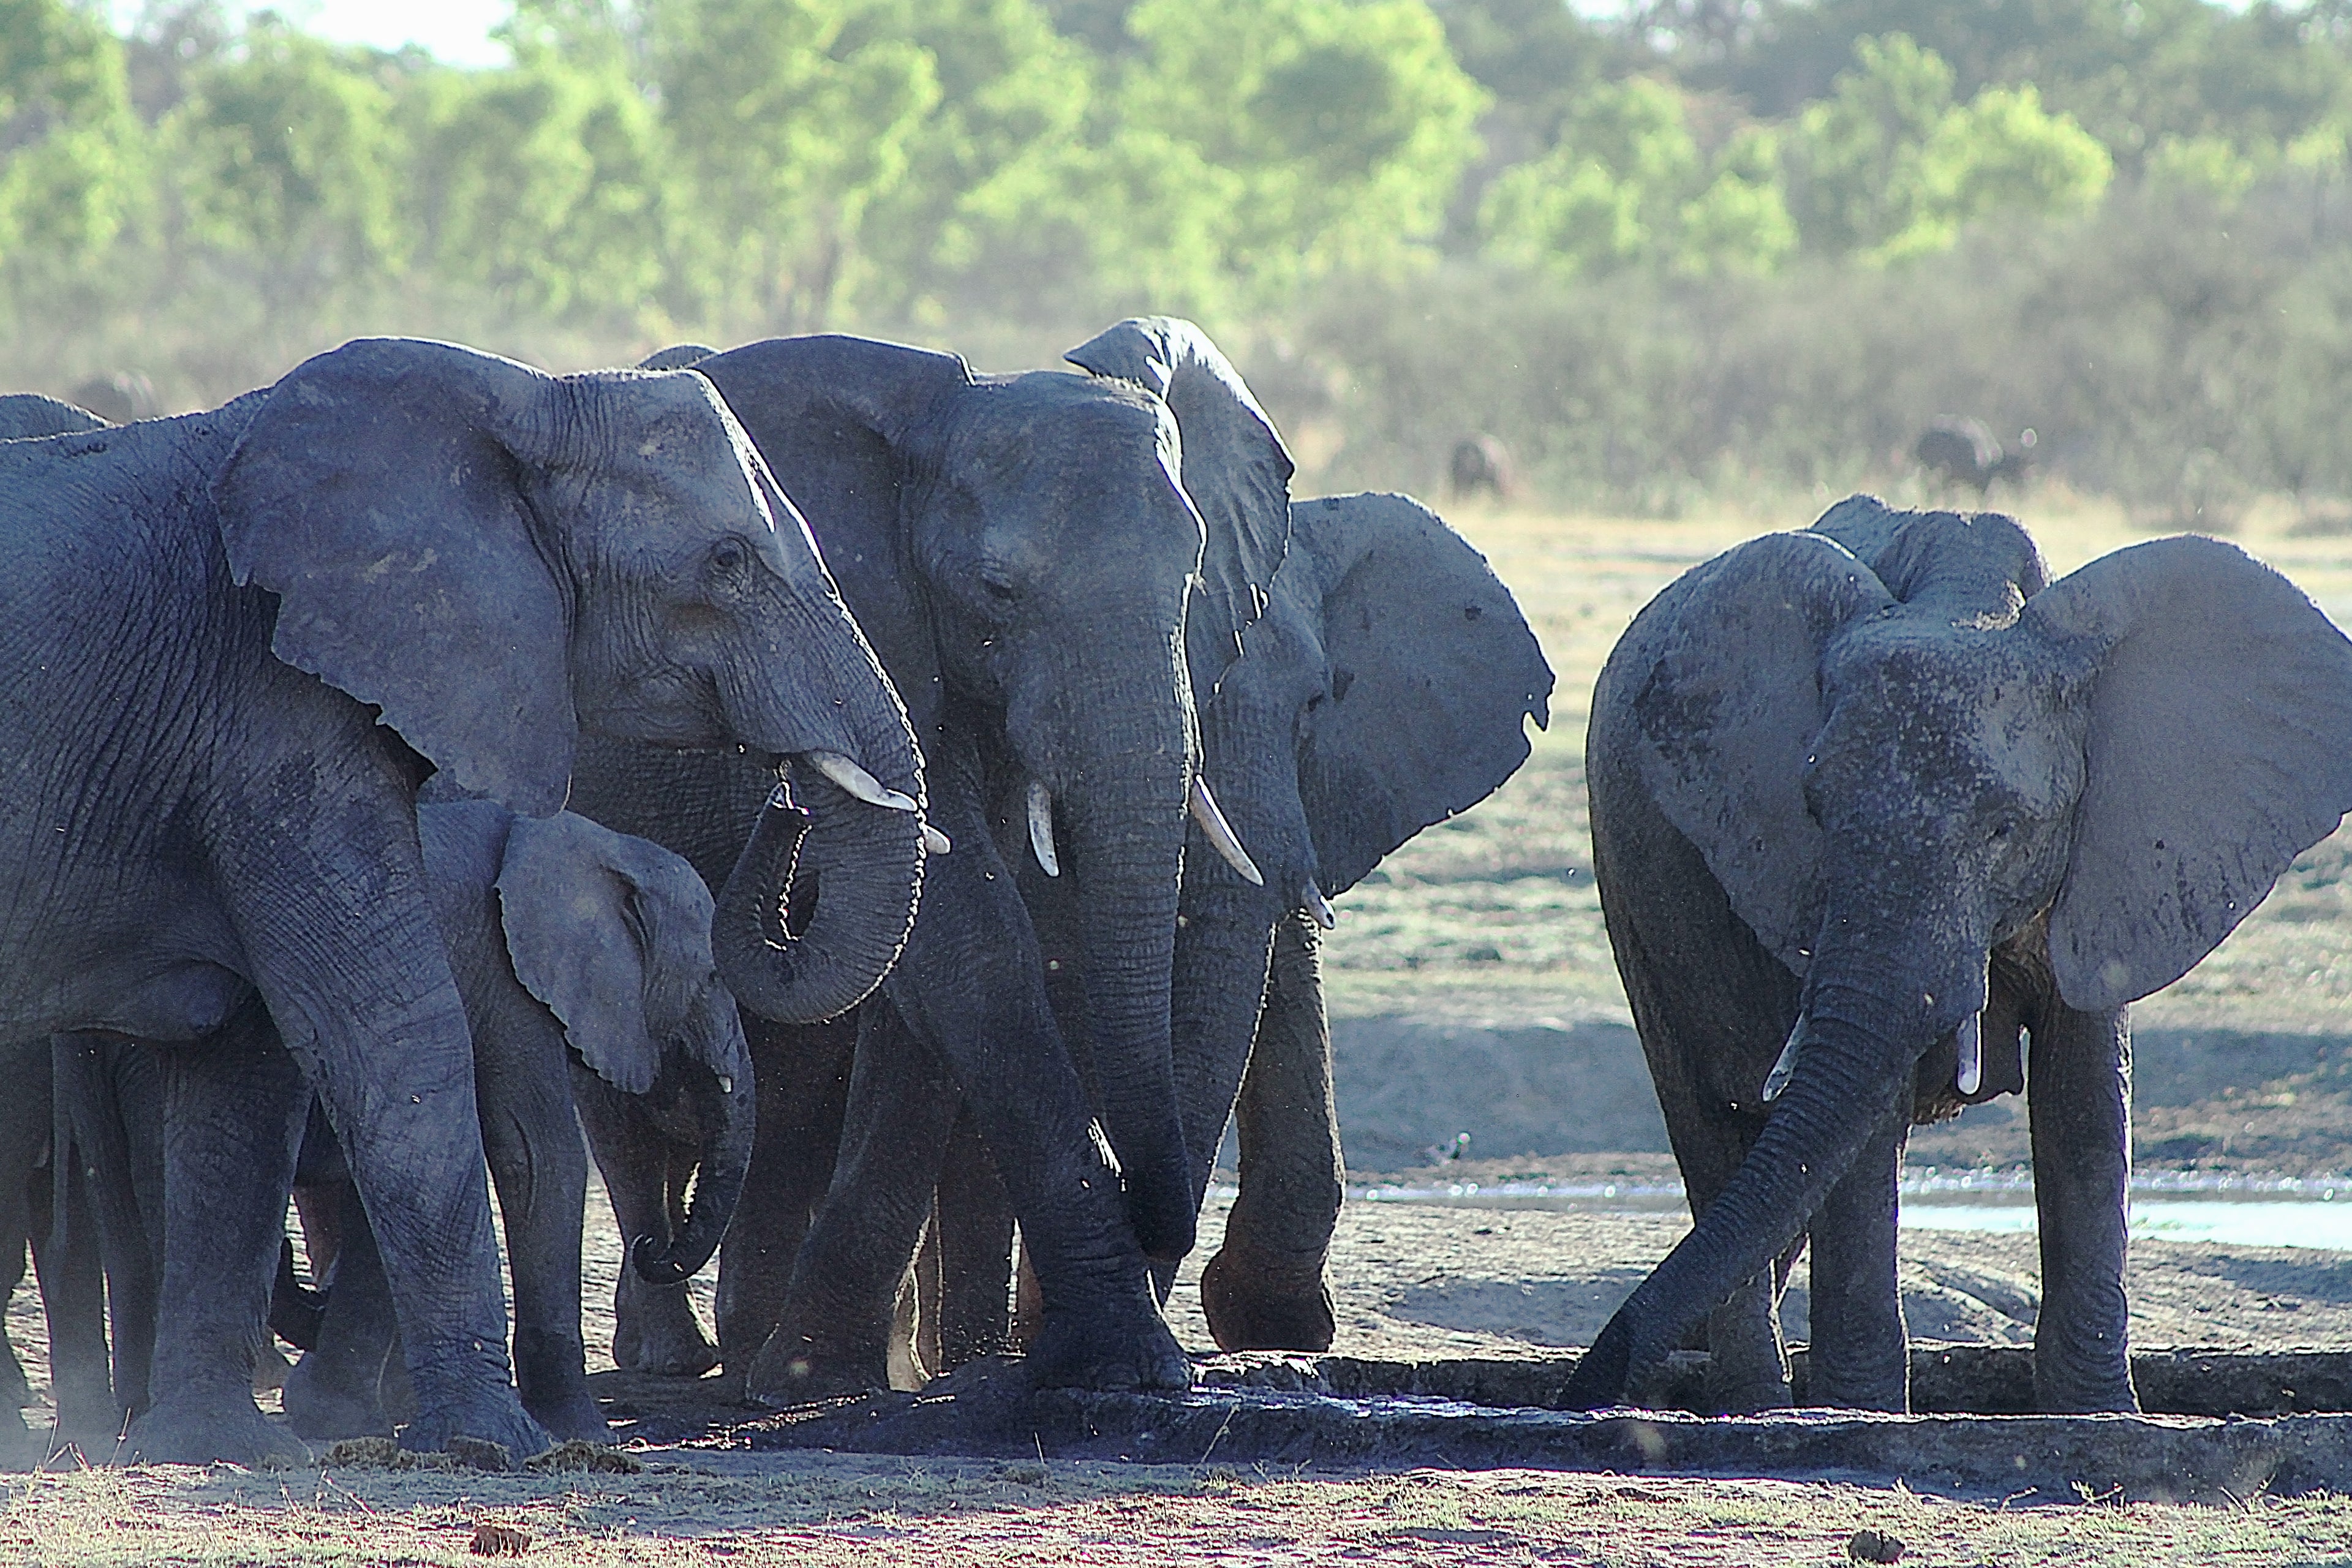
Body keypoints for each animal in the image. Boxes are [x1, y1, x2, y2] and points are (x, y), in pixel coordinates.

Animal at [0, 336, 928, 1464]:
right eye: (726, 563)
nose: (788, 804)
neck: (524, 394)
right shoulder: (266, 711)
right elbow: (403, 1042)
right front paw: (499, 1448)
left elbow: (246, 1080)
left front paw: (218, 1447)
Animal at [564, 318, 1295, 1398]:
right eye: (999, 590)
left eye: (1195, 579)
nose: (785, 805)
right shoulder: (871, 629)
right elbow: (968, 939)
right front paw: (1130, 1366)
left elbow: (934, 977)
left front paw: (820, 1377)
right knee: (624, 1101)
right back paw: (680, 1357)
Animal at [1563, 495, 2352, 1416]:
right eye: (1815, 809)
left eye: (2005, 828)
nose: (1584, 1387)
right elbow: (1860, 1125)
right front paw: (1860, 1413)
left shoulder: (2111, 849)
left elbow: (2088, 1102)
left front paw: (2099, 1415)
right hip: (1630, 885)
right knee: (1712, 1127)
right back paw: (1755, 1403)